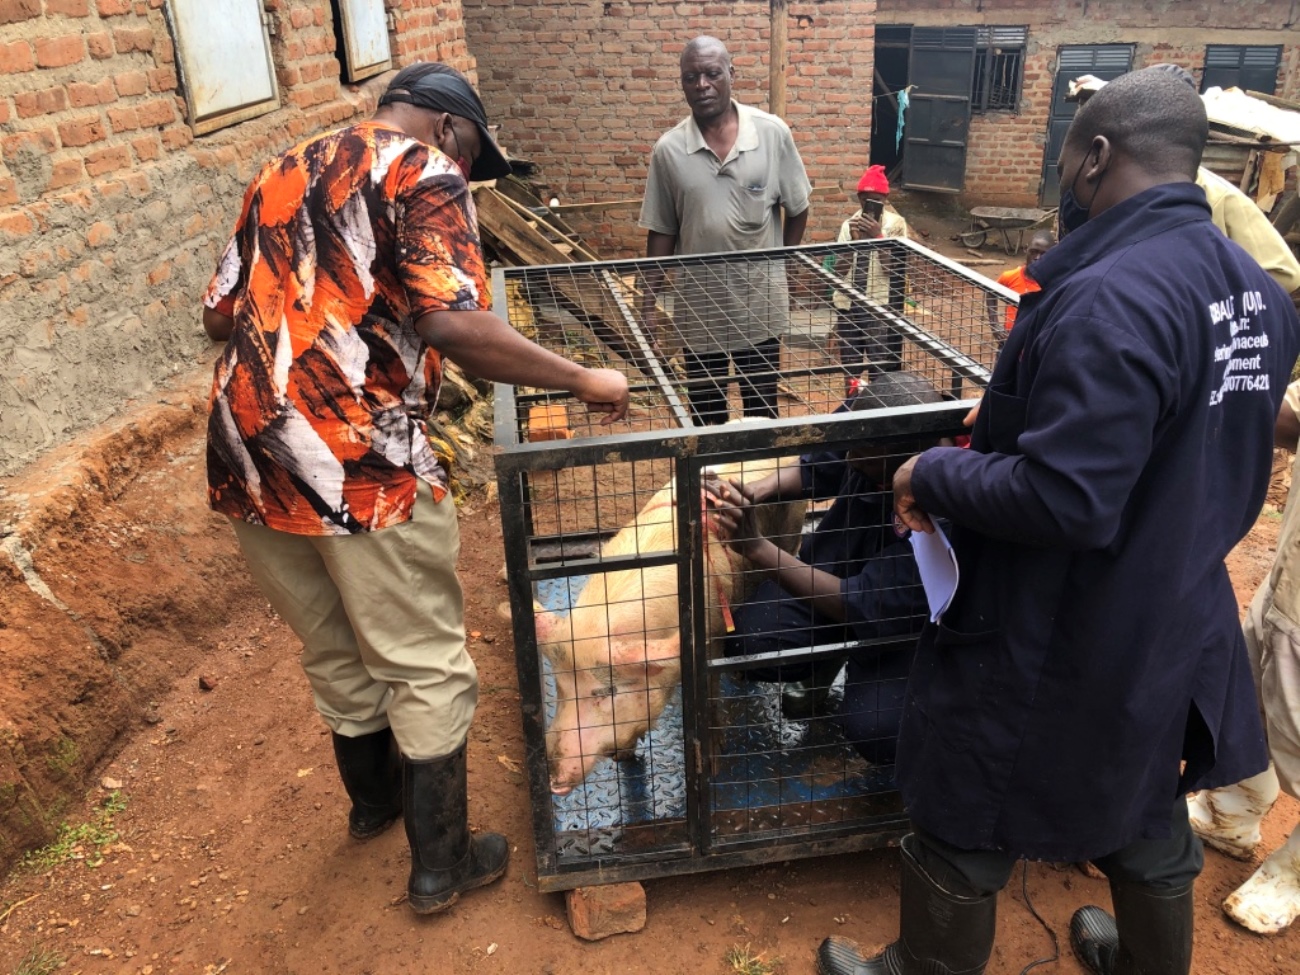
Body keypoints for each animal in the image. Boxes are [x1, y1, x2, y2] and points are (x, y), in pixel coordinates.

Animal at [491, 239, 1008, 894]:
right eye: (557, 687)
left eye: (606, 690)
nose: (557, 780)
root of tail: (762, 419)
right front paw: (630, 758)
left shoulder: (710, 633)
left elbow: (708, 710)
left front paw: (709, 759)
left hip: (788, 529)